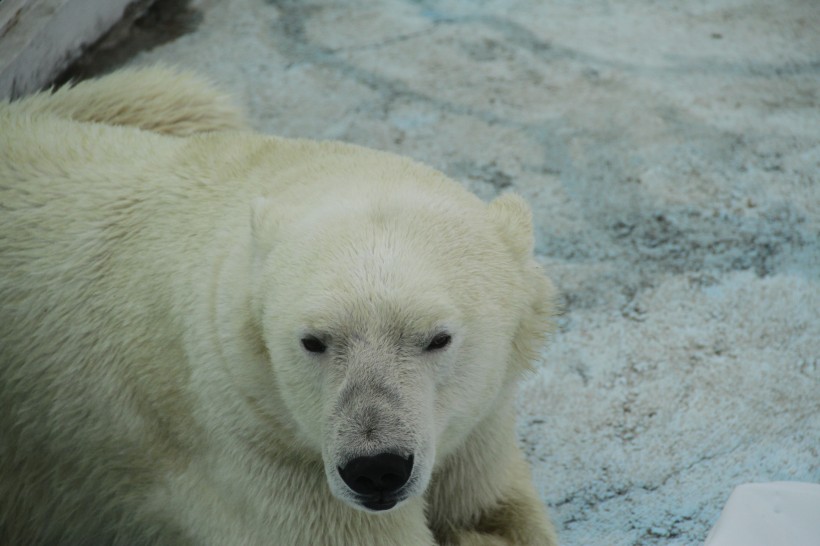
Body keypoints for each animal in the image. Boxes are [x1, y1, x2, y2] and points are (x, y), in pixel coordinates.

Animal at [0, 66, 556, 540]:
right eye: (313, 341)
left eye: (438, 338)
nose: (376, 468)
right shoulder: (261, 453)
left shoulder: (477, 423)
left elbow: (488, 510)